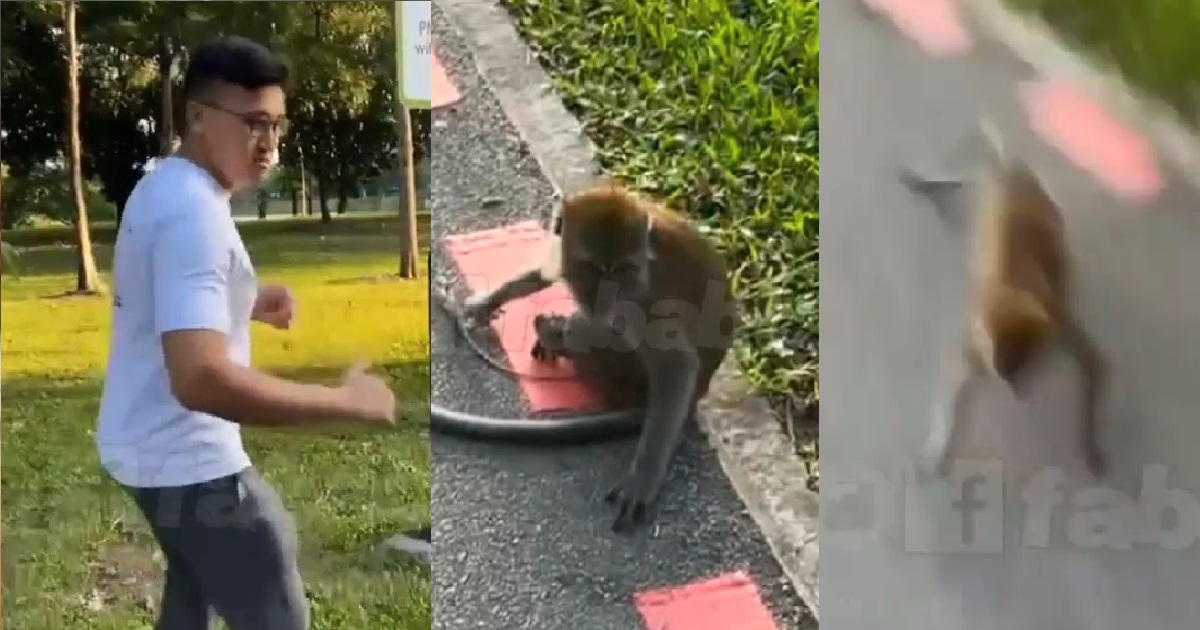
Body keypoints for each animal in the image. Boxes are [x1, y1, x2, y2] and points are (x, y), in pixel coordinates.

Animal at [460, 181, 738, 533]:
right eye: (593, 267)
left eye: (621, 270)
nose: (605, 296)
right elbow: (544, 272)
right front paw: (486, 302)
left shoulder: (640, 302)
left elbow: (675, 365)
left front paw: (643, 478)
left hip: (622, 372)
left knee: (594, 328)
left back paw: (555, 334)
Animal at [919, 119, 1107, 479]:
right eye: (1006, 364)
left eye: (1021, 363)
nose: (1014, 388)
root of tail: (1012, 171)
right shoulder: (976, 343)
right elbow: (952, 378)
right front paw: (936, 446)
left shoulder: (1052, 321)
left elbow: (1094, 363)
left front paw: (1091, 447)